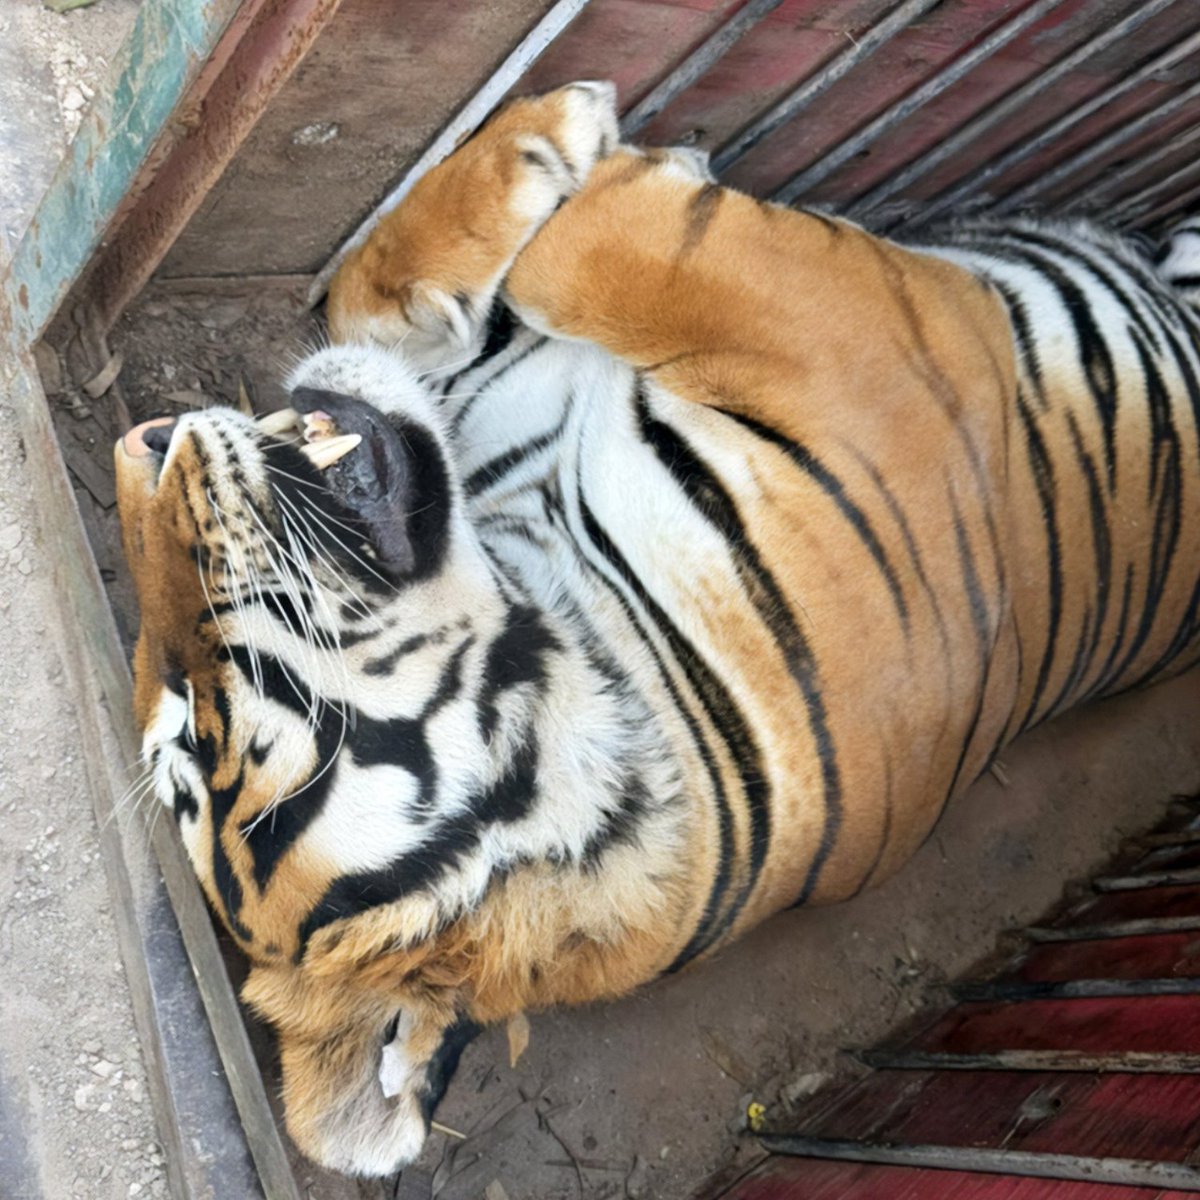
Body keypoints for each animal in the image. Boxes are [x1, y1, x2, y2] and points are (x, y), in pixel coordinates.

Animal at [114, 80, 1200, 1176]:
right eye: (195, 738)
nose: (144, 445)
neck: (555, 589)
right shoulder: (878, 364)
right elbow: (603, 257)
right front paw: (583, 142)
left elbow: (374, 300)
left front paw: (528, 151)